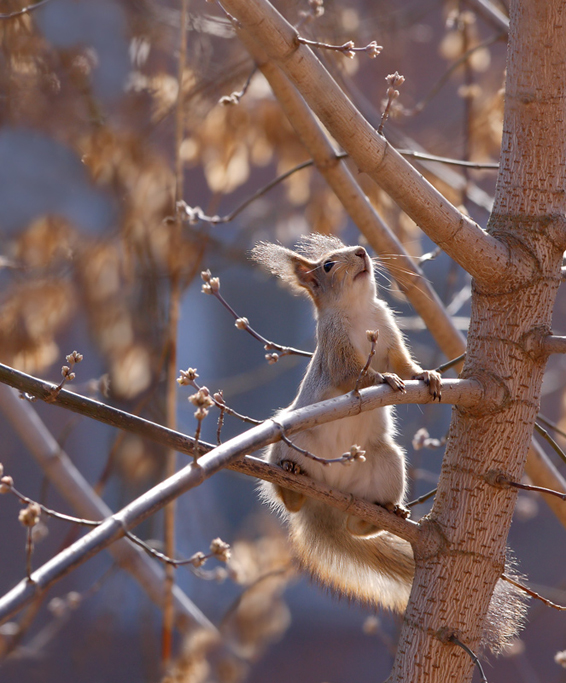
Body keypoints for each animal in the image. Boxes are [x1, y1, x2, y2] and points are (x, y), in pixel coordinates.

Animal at [253, 234, 528, 652]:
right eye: (328, 266)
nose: (362, 252)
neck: (360, 310)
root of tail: (327, 496)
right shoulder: (337, 352)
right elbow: (356, 375)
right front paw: (385, 381)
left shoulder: (390, 334)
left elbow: (404, 364)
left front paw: (427, 375)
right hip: (290, 441)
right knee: (291, 498)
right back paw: (291, 479)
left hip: (386, 463)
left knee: (355, 526)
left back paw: (384, 512)